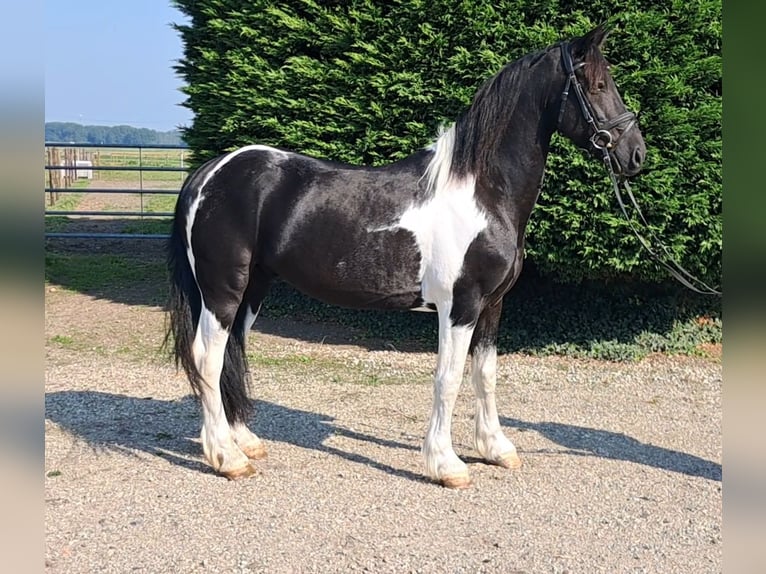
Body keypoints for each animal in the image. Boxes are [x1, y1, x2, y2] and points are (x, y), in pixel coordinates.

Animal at [168, 24, 648, 488]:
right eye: (598, 84)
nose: (636, 154)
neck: (482, 193)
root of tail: (209, 173)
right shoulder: (461, 306)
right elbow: (448, 379)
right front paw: (447, 465)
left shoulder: (492, 305)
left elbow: (485, 374)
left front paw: (496, 449)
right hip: (223, 290)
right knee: (207, 358)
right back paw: (227, 458)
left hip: (254, 288)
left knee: (231, 352)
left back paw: (244, 441)